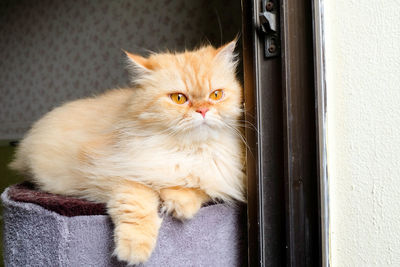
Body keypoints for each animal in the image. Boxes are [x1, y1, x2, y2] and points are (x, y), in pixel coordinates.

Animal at [9, 39, 245, 266]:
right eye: (178, 98)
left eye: (216, 95)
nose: (203, 110)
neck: (187, 149)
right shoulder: (116, 172)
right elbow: (138, 204)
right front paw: (134, 250)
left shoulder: (222, 177)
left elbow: (197, 187)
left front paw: (181, 205)